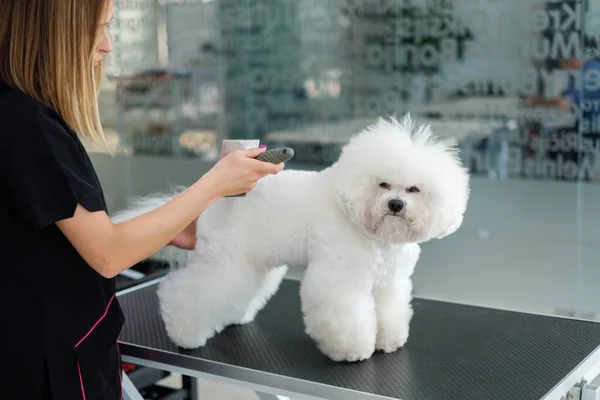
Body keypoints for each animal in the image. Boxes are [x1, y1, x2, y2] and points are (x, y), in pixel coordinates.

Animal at [112, 115, 468, 362]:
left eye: (413, 189)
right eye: (382, 184)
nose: (395, 204)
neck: (373, 233)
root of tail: (215, 194)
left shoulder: (389, 281)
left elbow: (390, 311)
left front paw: (388, 341)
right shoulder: (340, 280)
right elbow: (348, 317)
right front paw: (351, 350)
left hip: (254, 261)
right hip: (224, 260)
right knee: (188, 293)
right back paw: (185, 334)